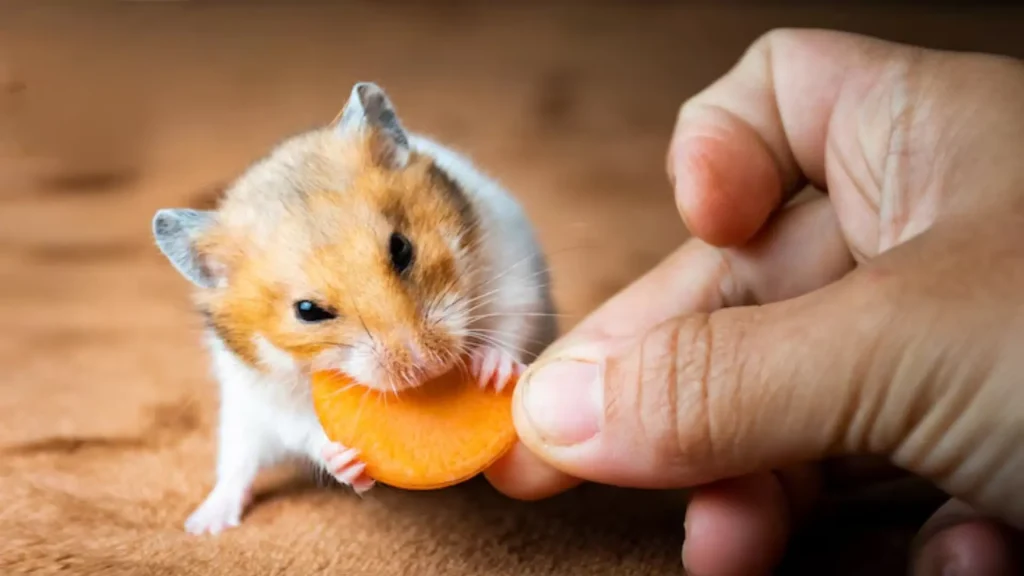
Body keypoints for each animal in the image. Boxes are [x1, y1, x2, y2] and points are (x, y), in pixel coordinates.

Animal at [152, 82, 558, 535]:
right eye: (308, 310)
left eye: (402, 249)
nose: (426, 368)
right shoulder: (269, 390)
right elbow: (306, 429)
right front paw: (347, 463)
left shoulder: (512, 272)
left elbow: (509, 325)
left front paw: (491, 372)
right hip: (240, 420)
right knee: (237, 467)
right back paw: (204, 524)